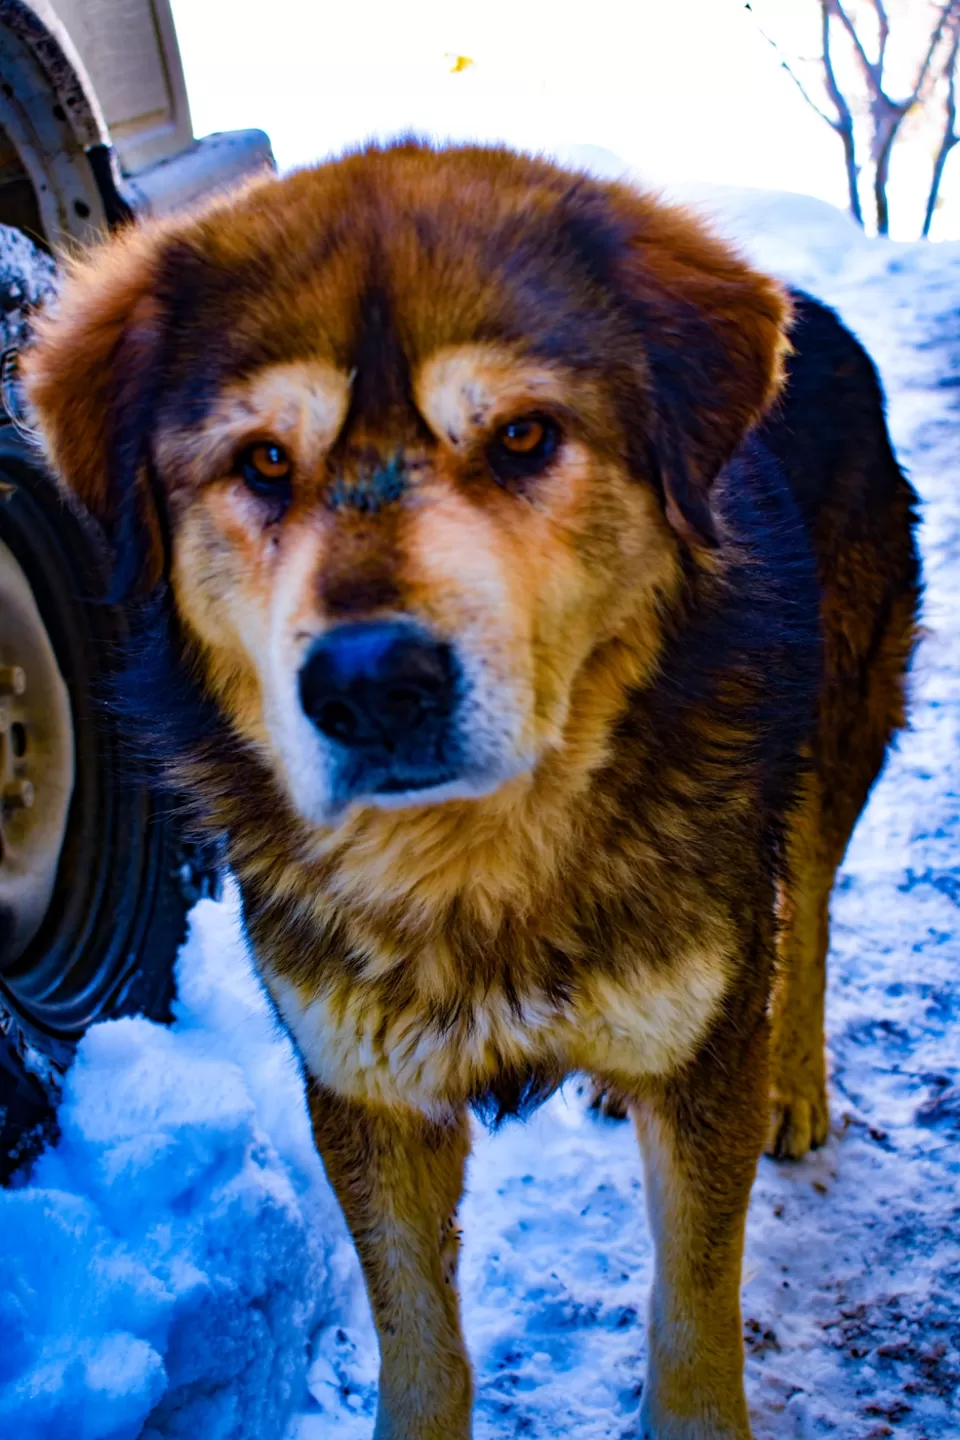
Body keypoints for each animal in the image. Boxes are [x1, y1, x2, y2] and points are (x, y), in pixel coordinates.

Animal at [22, 143, 921, 1440]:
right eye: (264, 463)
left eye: (523, 437)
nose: (370, 686)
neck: (474, 864)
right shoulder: (366, 1094)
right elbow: (422, 1354)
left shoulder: (703, 1082)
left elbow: (693, 1326)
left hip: (832, 740)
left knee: (803, 921)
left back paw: (796, 1084)